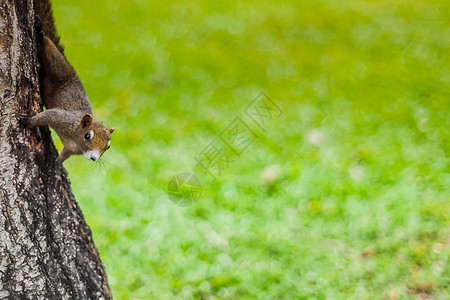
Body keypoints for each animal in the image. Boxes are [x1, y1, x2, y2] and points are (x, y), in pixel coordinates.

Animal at [21, 0, 114, 164]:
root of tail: (69, 64)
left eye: (108, 146)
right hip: (59, 68)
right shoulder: (62, 119)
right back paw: (40, 33)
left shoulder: (71, 150)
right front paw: (29, 121)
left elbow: (64, 155)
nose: (93, 158)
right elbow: (46, 116)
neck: (76, 139)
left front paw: (56, 163)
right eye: (88, 135)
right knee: (49, 49)